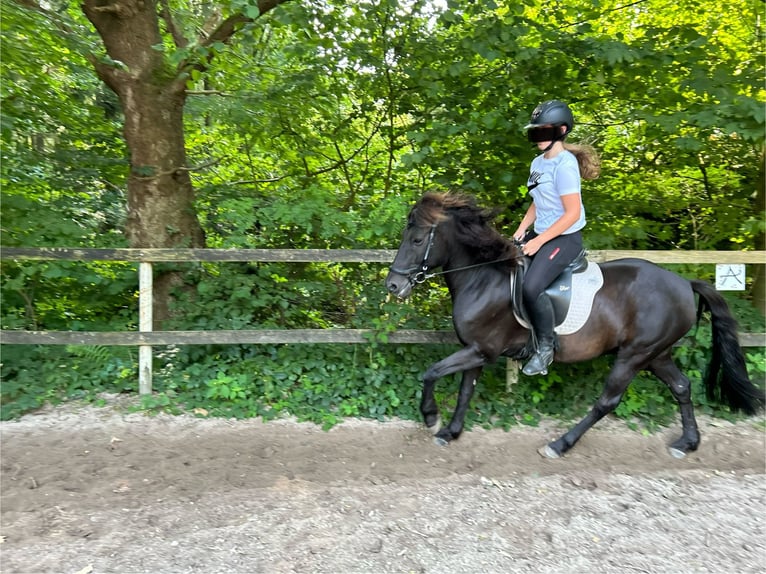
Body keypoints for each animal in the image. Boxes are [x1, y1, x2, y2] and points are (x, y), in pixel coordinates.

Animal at [388, 192, 764, 460]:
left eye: (418, 240)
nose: (393, 285)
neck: (484, 278)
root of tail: (685, 284)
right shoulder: (476, 351)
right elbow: (465, 390)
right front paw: (450, 432)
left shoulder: (481, 349)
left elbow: (432, 373)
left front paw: (431, 418)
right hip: (656, 354)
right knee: (682, 387)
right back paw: (687, 442)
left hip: (634, 355)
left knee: (607, 401)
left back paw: (560, 444)